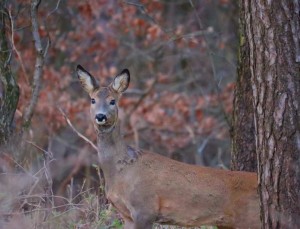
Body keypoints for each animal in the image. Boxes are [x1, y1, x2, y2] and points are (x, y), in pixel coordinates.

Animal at [75, 65, 260, 229]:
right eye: (92, 100)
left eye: (112, 101)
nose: (100, 116)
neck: (121, 169)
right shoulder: (127, 214)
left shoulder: (145, 208)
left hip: (250, 219)